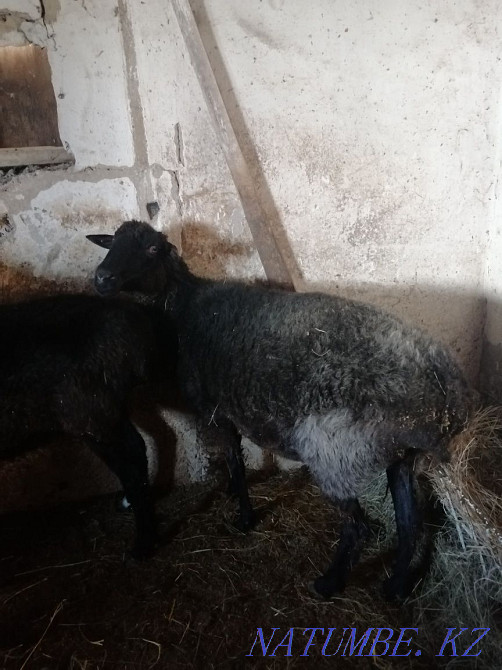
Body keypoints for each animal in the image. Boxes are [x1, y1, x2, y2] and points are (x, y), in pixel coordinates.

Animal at [88, 220, 473, 599]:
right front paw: (235, 496)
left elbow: (236, 462)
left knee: (359, 527)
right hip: (401, 455)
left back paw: (329, 583)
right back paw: (395, 588)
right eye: (111, 243)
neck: (186, 308)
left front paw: (244, 518)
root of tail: (445, 396)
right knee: (409, 525)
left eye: (152, 248)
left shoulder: (216, 411)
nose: (102, 278)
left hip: (336, 453)